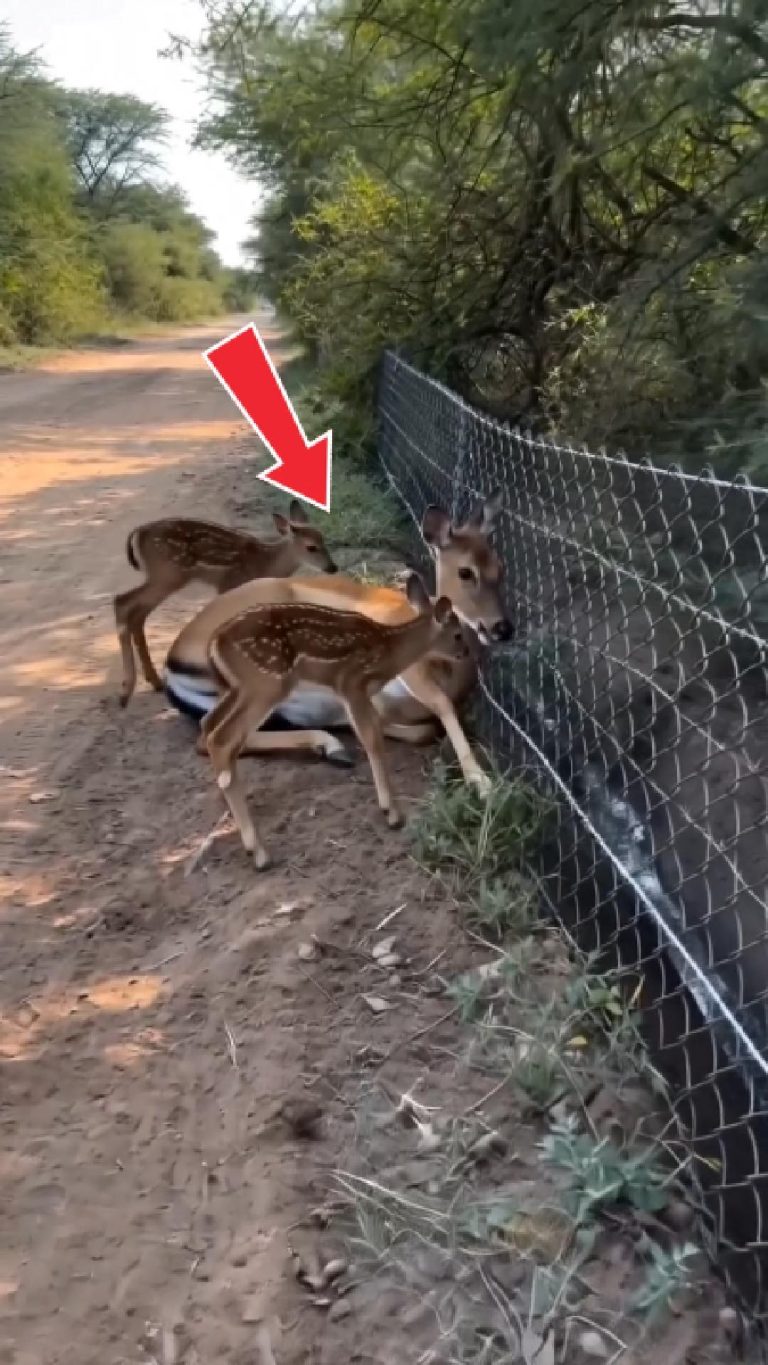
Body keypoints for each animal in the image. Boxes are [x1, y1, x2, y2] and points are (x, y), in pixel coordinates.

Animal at [114, 500, 337, 708]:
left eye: (324, 539)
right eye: (311, 547)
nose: (333, 567)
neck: (265, 563)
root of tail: (137, 534)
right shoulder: (229, 584)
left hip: (164, 576)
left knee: (137, 614)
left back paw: (154, 681)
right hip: (167, 574)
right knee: (122, 602)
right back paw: (126, 692)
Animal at [162, 491, 512, 793]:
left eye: (500, 566)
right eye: (465, 571)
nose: (502, 628)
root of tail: (174, 662)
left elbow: (420, 727)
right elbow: (439, 706)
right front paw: (482, 782)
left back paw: (333, 749)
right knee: (210, 735)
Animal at [201, 572, 469, 867]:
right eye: (458, 634)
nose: (466, 653)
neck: (386, 651)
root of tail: (214, 644)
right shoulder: (351, 683)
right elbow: (372, 740)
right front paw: (392, 812)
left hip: (234, 688)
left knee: (207, 723)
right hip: (265, 682)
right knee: (221, 738)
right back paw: (259, 852)